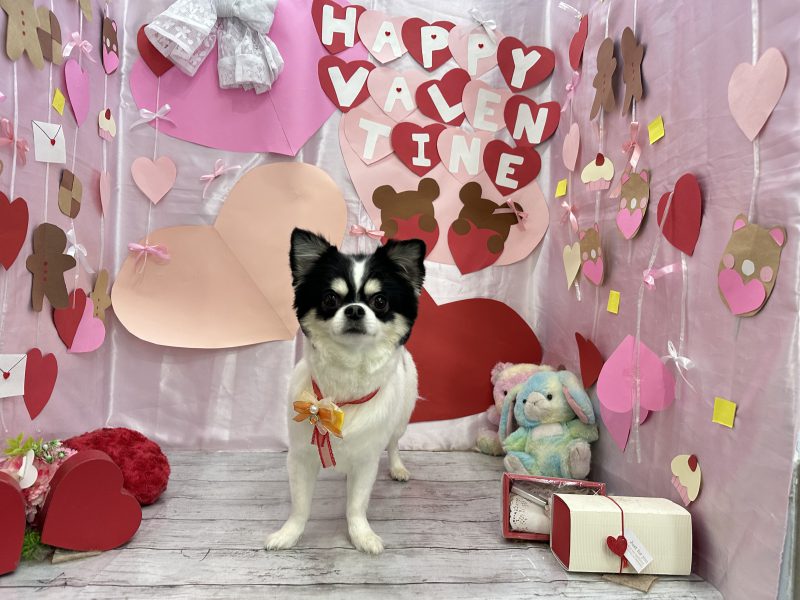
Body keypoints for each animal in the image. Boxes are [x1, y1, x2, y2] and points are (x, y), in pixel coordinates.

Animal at [265, 228, 426, 554]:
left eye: (380, 301)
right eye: (330, 298)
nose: (353, 309)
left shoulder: (366, 460)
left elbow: (356, 506)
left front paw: (361, 536)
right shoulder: (300, 457)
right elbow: (300, 506)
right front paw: (289, 534)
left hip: (400, 422)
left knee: (394, 444)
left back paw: (398, 468)